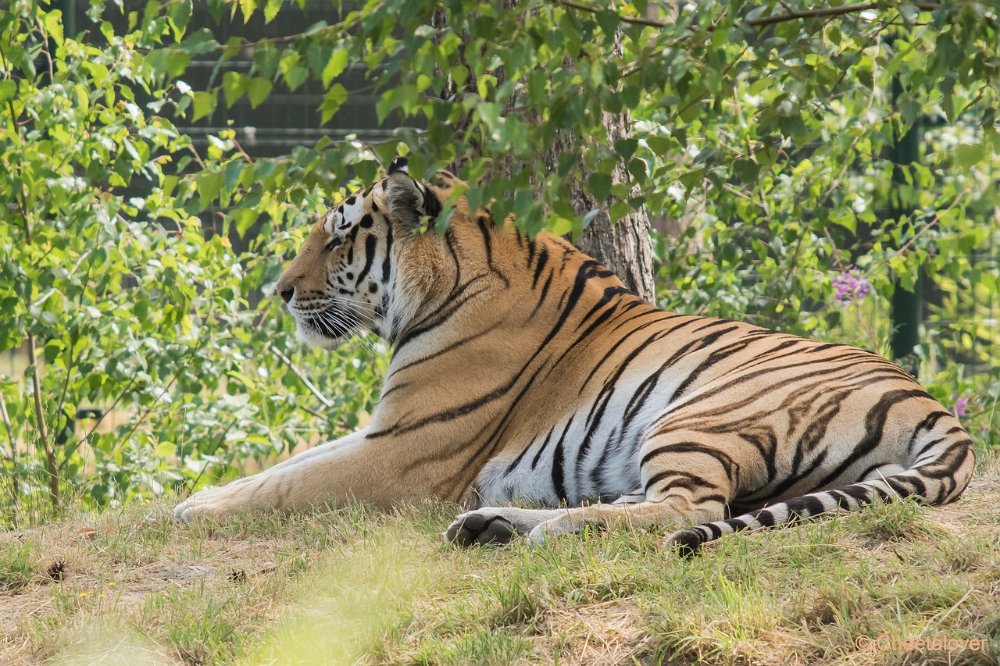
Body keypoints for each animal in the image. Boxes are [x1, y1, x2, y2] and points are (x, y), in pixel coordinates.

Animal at [174, 158, 976, 552]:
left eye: (339, 236)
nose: (280, 292)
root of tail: (935, 406)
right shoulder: (384, 431)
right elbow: (286, 465)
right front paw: (203, 495)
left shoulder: (403, 452)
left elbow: (288, 485)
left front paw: (190, 510)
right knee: (650, 502)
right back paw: (494, 525)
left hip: (701, 414)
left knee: (682, 508)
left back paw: (542, 527)